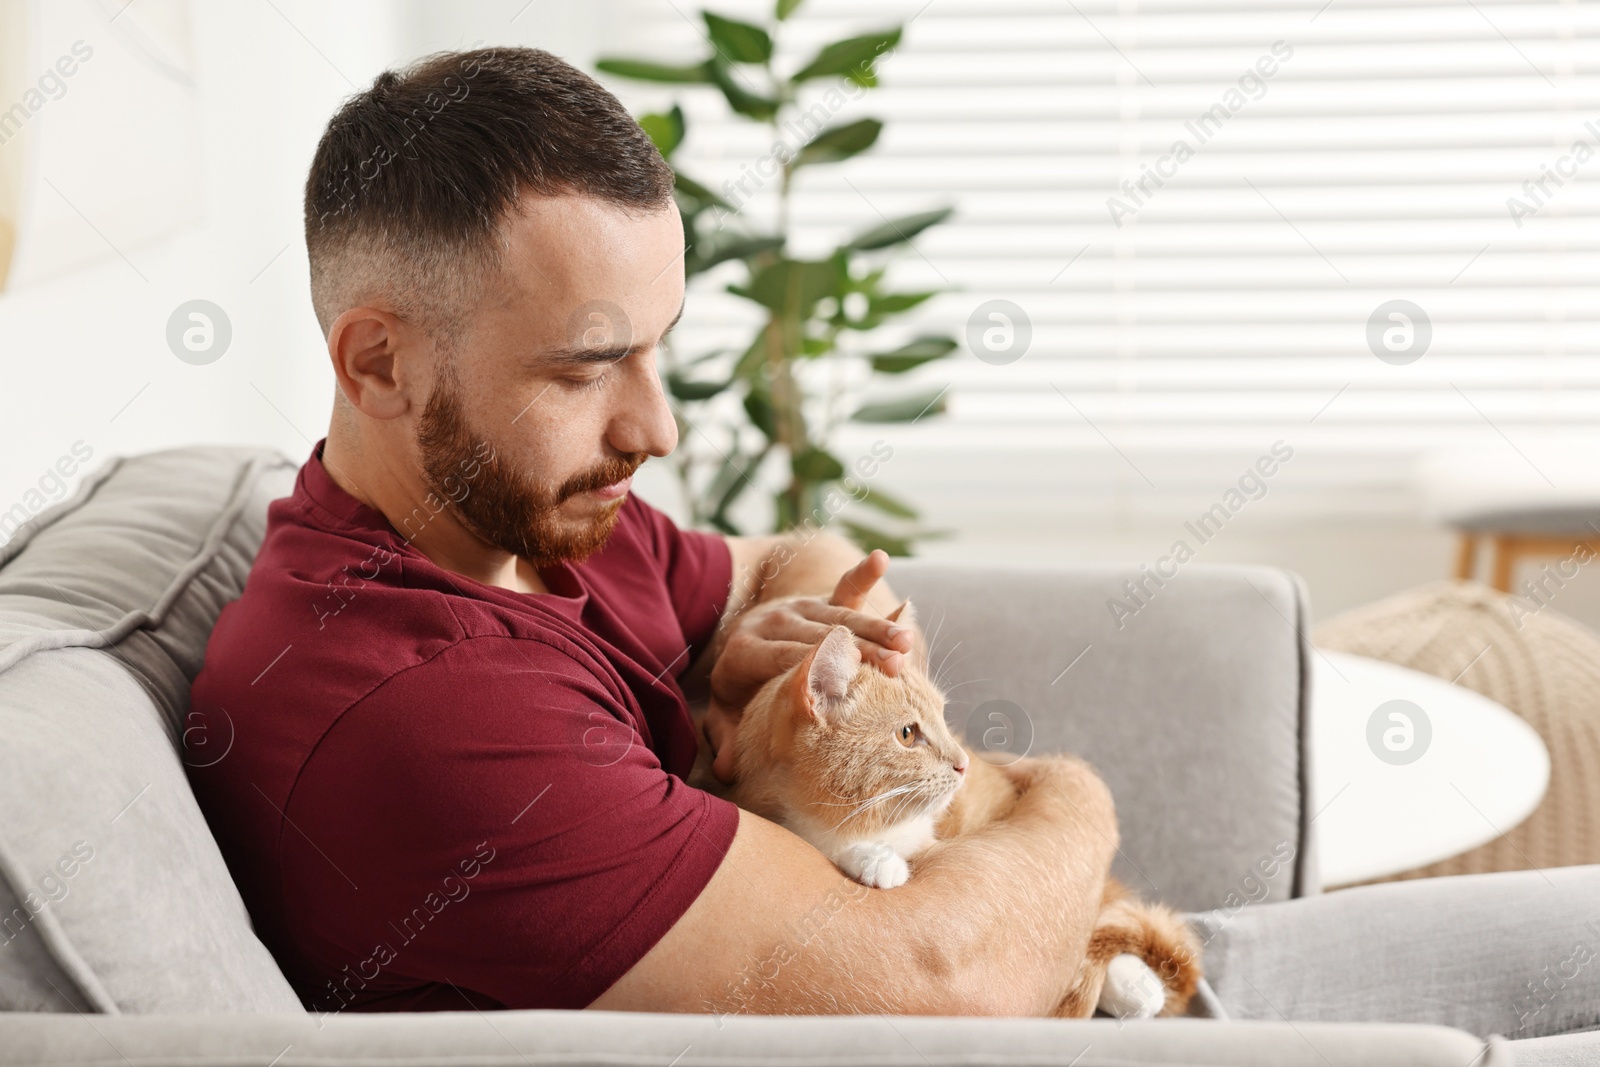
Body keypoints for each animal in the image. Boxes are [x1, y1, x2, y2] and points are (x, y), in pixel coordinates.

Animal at [700, 601, 1203, 1017]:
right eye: (907, 734)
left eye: (944, 718)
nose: (963, 763)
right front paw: (873, 856)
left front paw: (879, 854)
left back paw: (1137, 988)